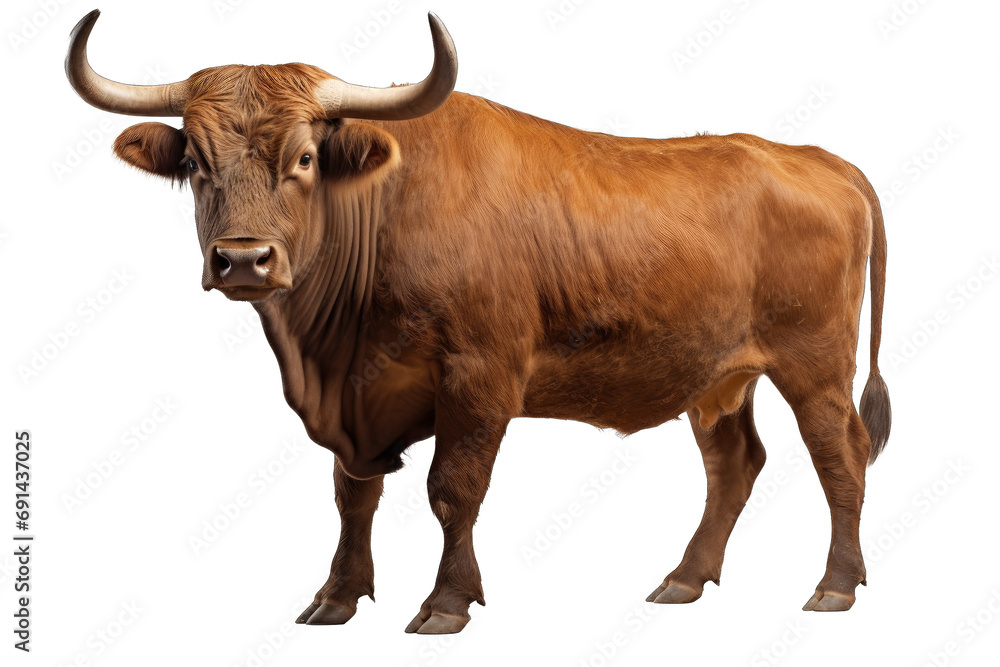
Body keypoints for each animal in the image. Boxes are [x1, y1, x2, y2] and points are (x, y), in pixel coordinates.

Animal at [66, 9, 891, 634]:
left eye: (304, 158)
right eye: (195, 163)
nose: (243, 260)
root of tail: (815, 158)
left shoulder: (479, 377)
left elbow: (452, 488)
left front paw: (446, 601)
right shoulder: (355, 399)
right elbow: (352, 493)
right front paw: (337, 596)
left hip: (815, 363)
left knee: (840, 455)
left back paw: (835, 584)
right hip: (718, 376)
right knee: (734, 463)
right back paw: (684, 578)